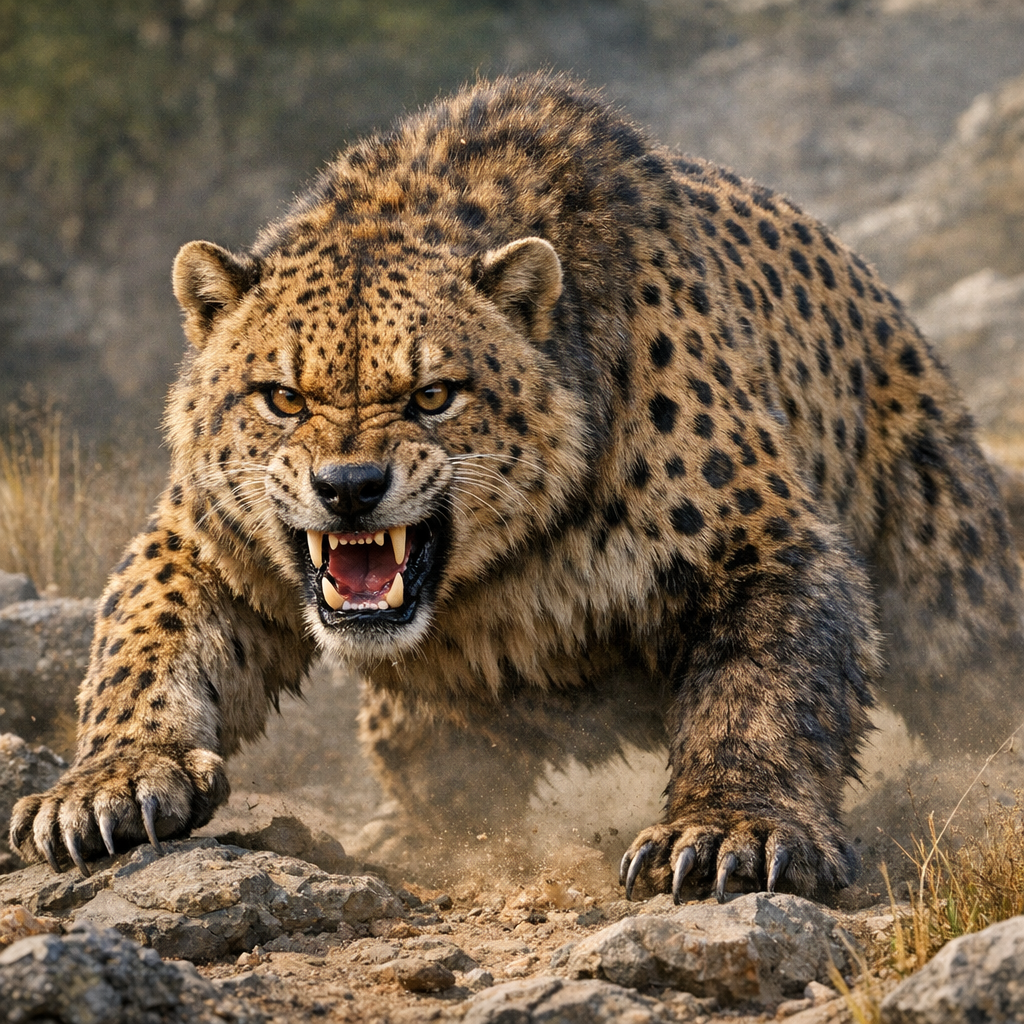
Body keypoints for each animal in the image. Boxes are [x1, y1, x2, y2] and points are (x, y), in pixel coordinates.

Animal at [11, 73, 1024, 902]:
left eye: (432, 395)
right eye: (283, 398)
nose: (350, 487)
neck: (499, 573)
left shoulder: (763, 543)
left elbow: (762, 689)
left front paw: (729, 826)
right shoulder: (203, 538)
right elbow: (143, 639)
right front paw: (110, 780)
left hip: (947, 576)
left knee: (976, 660)